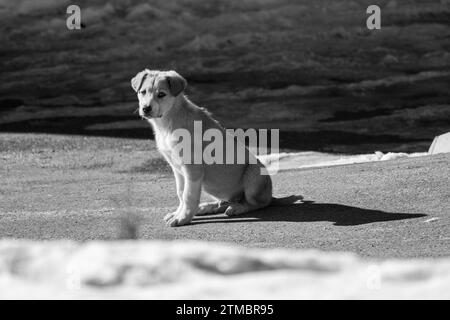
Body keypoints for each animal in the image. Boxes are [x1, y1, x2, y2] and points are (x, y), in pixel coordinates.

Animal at [132, 69, 298, 226]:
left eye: (161, 94)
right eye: (143, 92)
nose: (146, 108)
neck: (168, 121)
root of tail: (271, 196)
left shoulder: (192, 168)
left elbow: (188, 195)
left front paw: (183, 218)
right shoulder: (176, 168)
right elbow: (180, 192)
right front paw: (178, 213)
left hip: (254, 172)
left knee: (258, 203)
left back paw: (237, 208)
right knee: (226, 201)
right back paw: (206, 207)